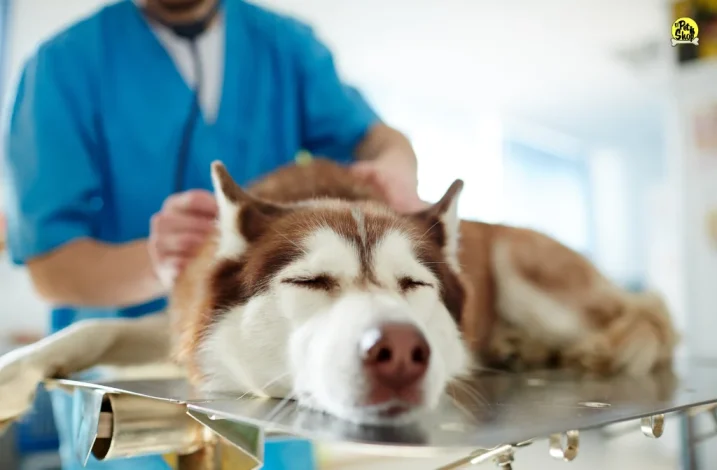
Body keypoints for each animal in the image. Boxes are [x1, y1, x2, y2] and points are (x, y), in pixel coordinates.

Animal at [0, 159, 676, 426]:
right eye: (310, 281)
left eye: (413, 285)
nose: (400, 354)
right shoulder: (183, 323)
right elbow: (97, 326)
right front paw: (17, 367)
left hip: (524, 268)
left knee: (647, 320)